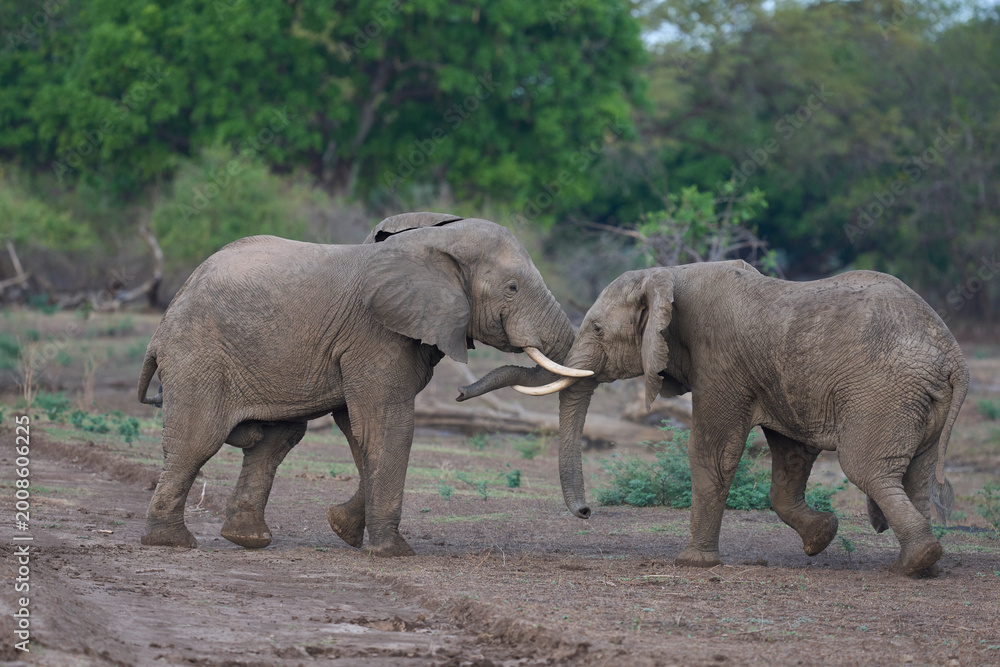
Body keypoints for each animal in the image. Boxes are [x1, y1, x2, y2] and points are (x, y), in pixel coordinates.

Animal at [137, 213, 588, 556]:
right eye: (511, 289)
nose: (585, 514)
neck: (432, 239)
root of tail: (169, 312)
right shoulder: (374, 334)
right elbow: (389, 426)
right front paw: (393, 552)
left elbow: (359, 431)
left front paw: (343, 528)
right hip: (197, 354)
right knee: (198, 439)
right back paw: (172, 542)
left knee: (276, 441)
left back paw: (247, 539)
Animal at [460, 261, 969, 576]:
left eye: (599, 328)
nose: (587, 512)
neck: (669, 275)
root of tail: (953, 355)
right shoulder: (774, 380)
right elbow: (791, 456)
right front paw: (820, 538)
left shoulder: (720, 361)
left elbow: (713, 452)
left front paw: (693, 563)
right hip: (916, 400)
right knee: (916, 474)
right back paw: (922, 565)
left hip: (883, 392)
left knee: (866, 468)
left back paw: (915, 562)